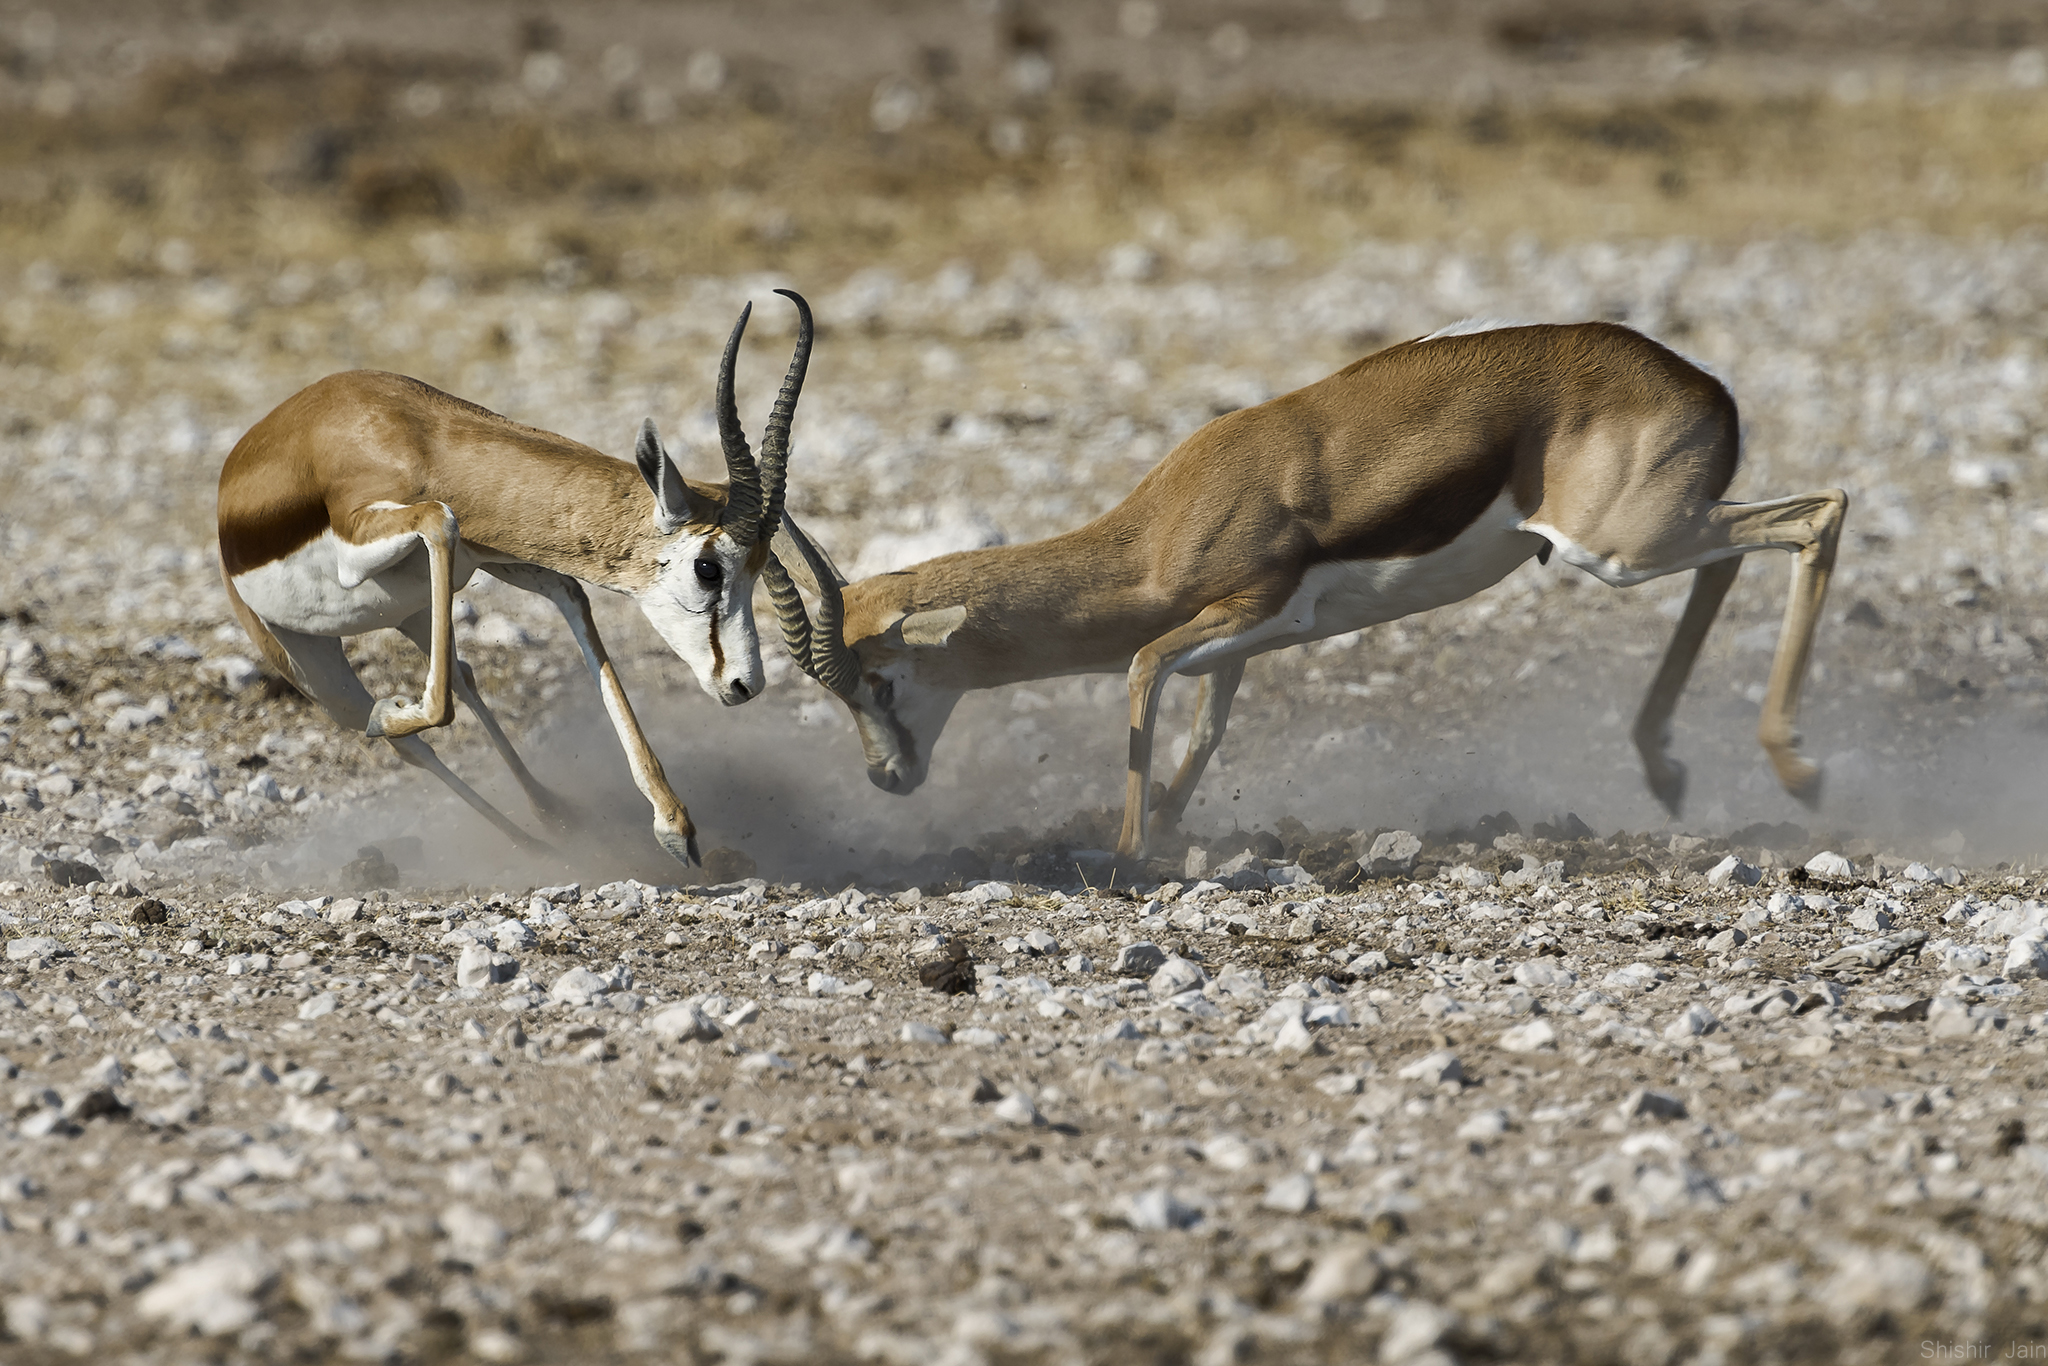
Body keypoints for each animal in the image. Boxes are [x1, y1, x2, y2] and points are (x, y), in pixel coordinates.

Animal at [214, 290, 806, 872]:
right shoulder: (363, 549)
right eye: (709, 568)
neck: (413, 437)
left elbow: (572, 599)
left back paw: (552, 820)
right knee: (403, 739)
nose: (745, 685)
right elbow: (440, 519)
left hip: (413, 611)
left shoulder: (502, 559)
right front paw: (391, 712)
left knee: (463, 677)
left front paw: (675, 827)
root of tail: (227, 487)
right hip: (306, 659)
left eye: (756, 570)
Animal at [770, 317, 1859, 860]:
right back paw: (1667, 770)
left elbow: (1139, 667)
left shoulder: (1243, 611)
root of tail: (1704, 386)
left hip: (1620, 546)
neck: (1159, 527)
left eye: (878, 679)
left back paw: (1799, 772)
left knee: (1819, 512)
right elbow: (1204, 728)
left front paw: (1126, 857)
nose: (886, 777)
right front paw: (1165, 832)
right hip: (1651, 537)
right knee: (1735, 555)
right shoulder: (1243, 641)